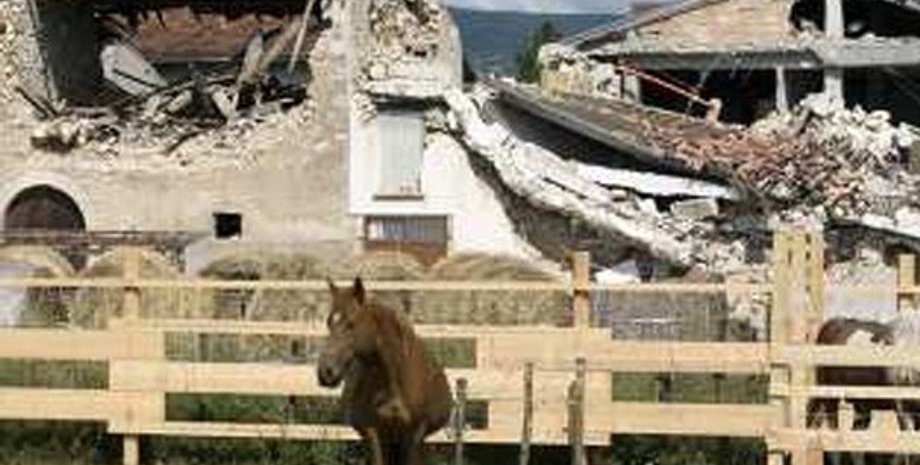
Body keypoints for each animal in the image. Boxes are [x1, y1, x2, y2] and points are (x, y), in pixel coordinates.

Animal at [317, 277, 452, 465]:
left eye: (351, 324)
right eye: (329, 323)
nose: (326, 371)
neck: (394, 378)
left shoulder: (414, 435)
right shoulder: (373, 432)